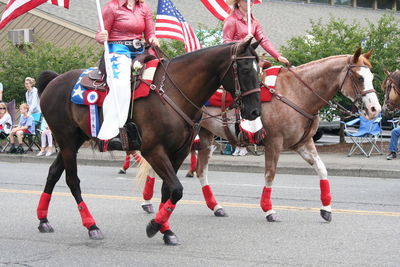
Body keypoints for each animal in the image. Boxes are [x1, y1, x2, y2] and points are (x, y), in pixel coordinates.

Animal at [36, 38, 260, 246]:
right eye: (245, 68)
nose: (255, 111)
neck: (173, 92)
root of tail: (55, 80)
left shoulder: (178, 152)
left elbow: (168, 191)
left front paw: (165, 230)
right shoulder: (153, 151)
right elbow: (176, 189)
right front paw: (154, 226)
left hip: (72, 142)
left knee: (53, 173)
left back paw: (43, 220)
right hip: (66, 141)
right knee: (72, 181)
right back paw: (91, 225)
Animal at [138, 49, 382, 223]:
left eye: (371, 76)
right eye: (359, 77)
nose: (375, 110)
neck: (296, 93)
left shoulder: (304, 144)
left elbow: (322, 170)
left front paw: (326, 208)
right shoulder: (274, 143)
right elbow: (270, 175)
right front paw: (269, 210)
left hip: (205, 138)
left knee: (200, 171)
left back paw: (215, 206)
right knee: (155, 168)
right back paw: (148, 202)